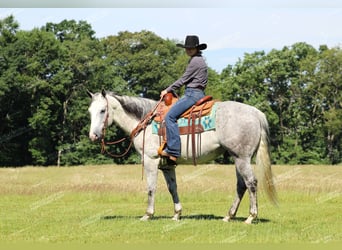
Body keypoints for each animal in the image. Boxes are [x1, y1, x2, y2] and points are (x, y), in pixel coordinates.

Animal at [87, 90, 276, 225]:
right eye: (90, 111)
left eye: (103, 110)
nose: (93, 136)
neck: (145, 121)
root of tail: (256, 113)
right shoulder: (167, 165)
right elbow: (173, 188)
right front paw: (177, 214)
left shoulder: (150, 160)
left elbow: (151, 188)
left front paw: (148, 214)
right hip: (237, 158)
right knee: (241, 185)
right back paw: (228, 216)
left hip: (242, 158)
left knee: (251, 183)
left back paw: (250, 217)